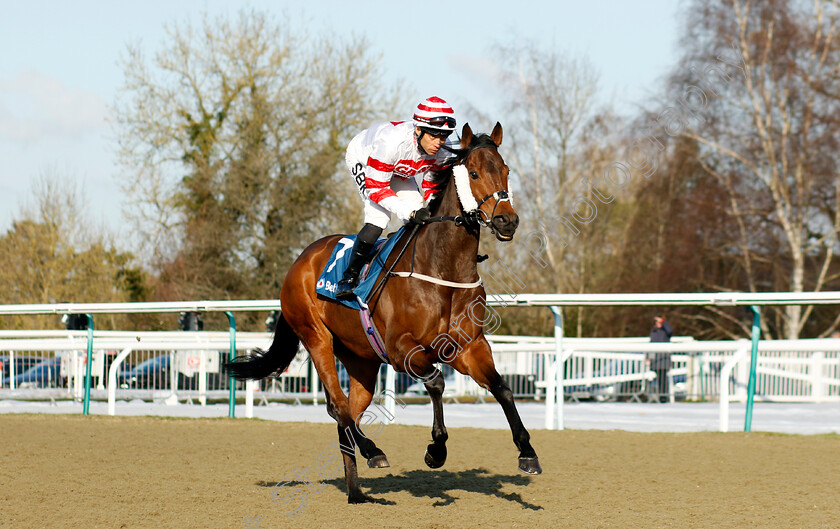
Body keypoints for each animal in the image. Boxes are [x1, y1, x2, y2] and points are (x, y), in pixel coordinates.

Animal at [226, 121, 540, 502]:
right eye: (476, 172)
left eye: (506, 170)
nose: (508, 221)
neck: (443, 269)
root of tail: (300, 261)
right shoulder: (401, 348)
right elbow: (436, 382)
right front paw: (436, 450)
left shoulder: (469, 347)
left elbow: (502, 388)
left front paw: (527, 453)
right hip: (316, 338)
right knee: (337, 406)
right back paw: (373, 451)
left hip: (361, 360)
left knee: (347, 415)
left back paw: (356, 491)